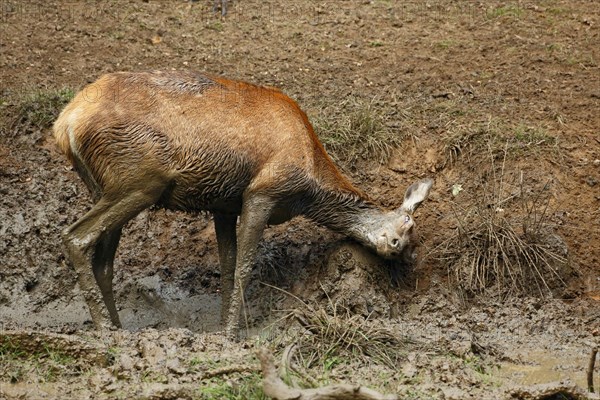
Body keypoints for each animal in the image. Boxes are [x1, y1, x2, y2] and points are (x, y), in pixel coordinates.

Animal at [52, 71, 432, 338]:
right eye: (407, 227)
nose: (398, 248)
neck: (309, 185)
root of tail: (65, 124)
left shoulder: (224, 205)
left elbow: (227, 263)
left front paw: (221, 327)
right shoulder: (262, 192)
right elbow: (245, 266)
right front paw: (233, 334)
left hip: (104, 186)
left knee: (103, 260)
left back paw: (118, 329)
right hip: (140, 179)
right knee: (75, 237)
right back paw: (103, 329)